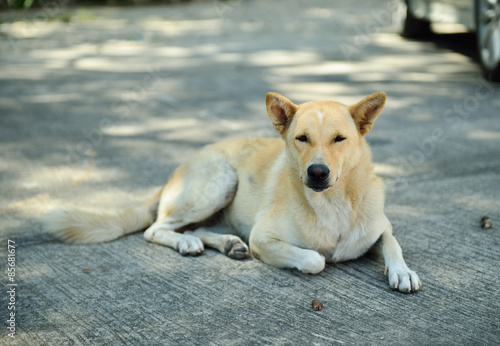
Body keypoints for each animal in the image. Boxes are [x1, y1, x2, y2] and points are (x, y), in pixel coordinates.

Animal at [45, 91, 422, 292]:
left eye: (339, 139)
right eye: (302, 138)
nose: (317, 172)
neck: (333, 202)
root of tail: (181, 166)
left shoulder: (380, 226)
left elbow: (392, 242)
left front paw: (402, 271)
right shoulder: (263, 239)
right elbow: (315, 259)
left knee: (195, 228)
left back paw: (224, 243)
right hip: (219, 182)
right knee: (156, 229)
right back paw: (187, 243)